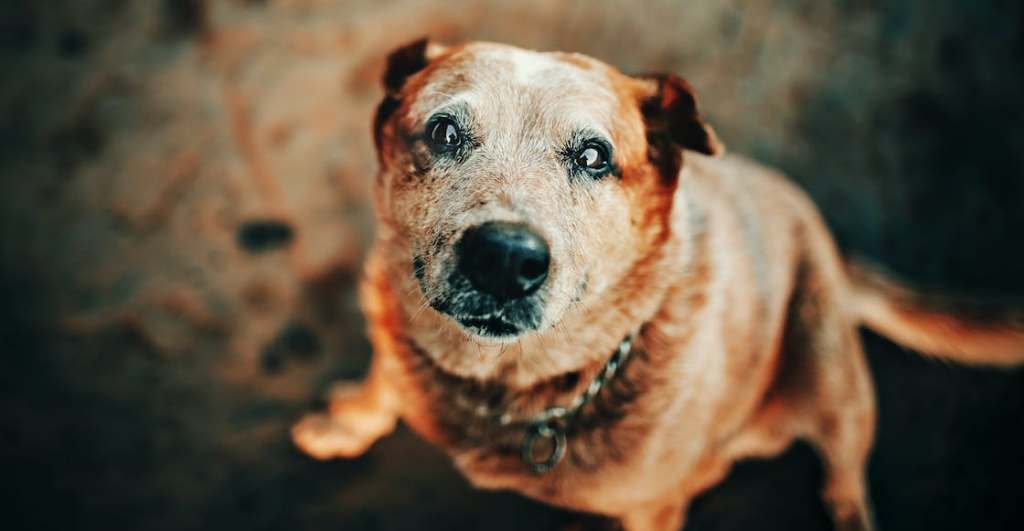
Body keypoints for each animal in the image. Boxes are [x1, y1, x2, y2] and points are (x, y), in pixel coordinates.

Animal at [290, 41, 1024, 531]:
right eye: (444, 130)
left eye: (593, 155)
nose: (503, 258)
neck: (510, 390)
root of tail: (840, 259)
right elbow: (383, 382)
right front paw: (346, 421)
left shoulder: (653, 509)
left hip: (831, 377)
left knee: (845, 467)